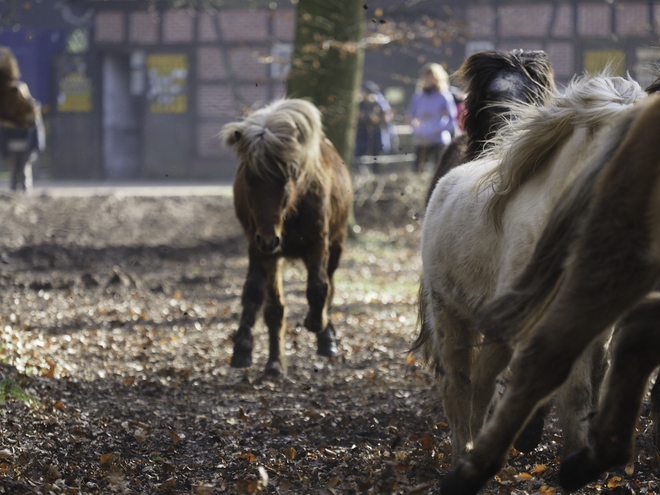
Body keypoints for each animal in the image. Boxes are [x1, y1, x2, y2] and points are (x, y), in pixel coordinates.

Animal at [222, 100, 354, 376]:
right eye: (249, 178)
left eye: (286, 178)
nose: (268, 239)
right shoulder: (263, 251)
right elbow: (264, 301)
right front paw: (256, 355)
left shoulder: (319, 243)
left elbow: (319, 287)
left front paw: (317, 324)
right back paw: (265, 358)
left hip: (336, 245)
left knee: (330, 284)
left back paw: (326, 338)